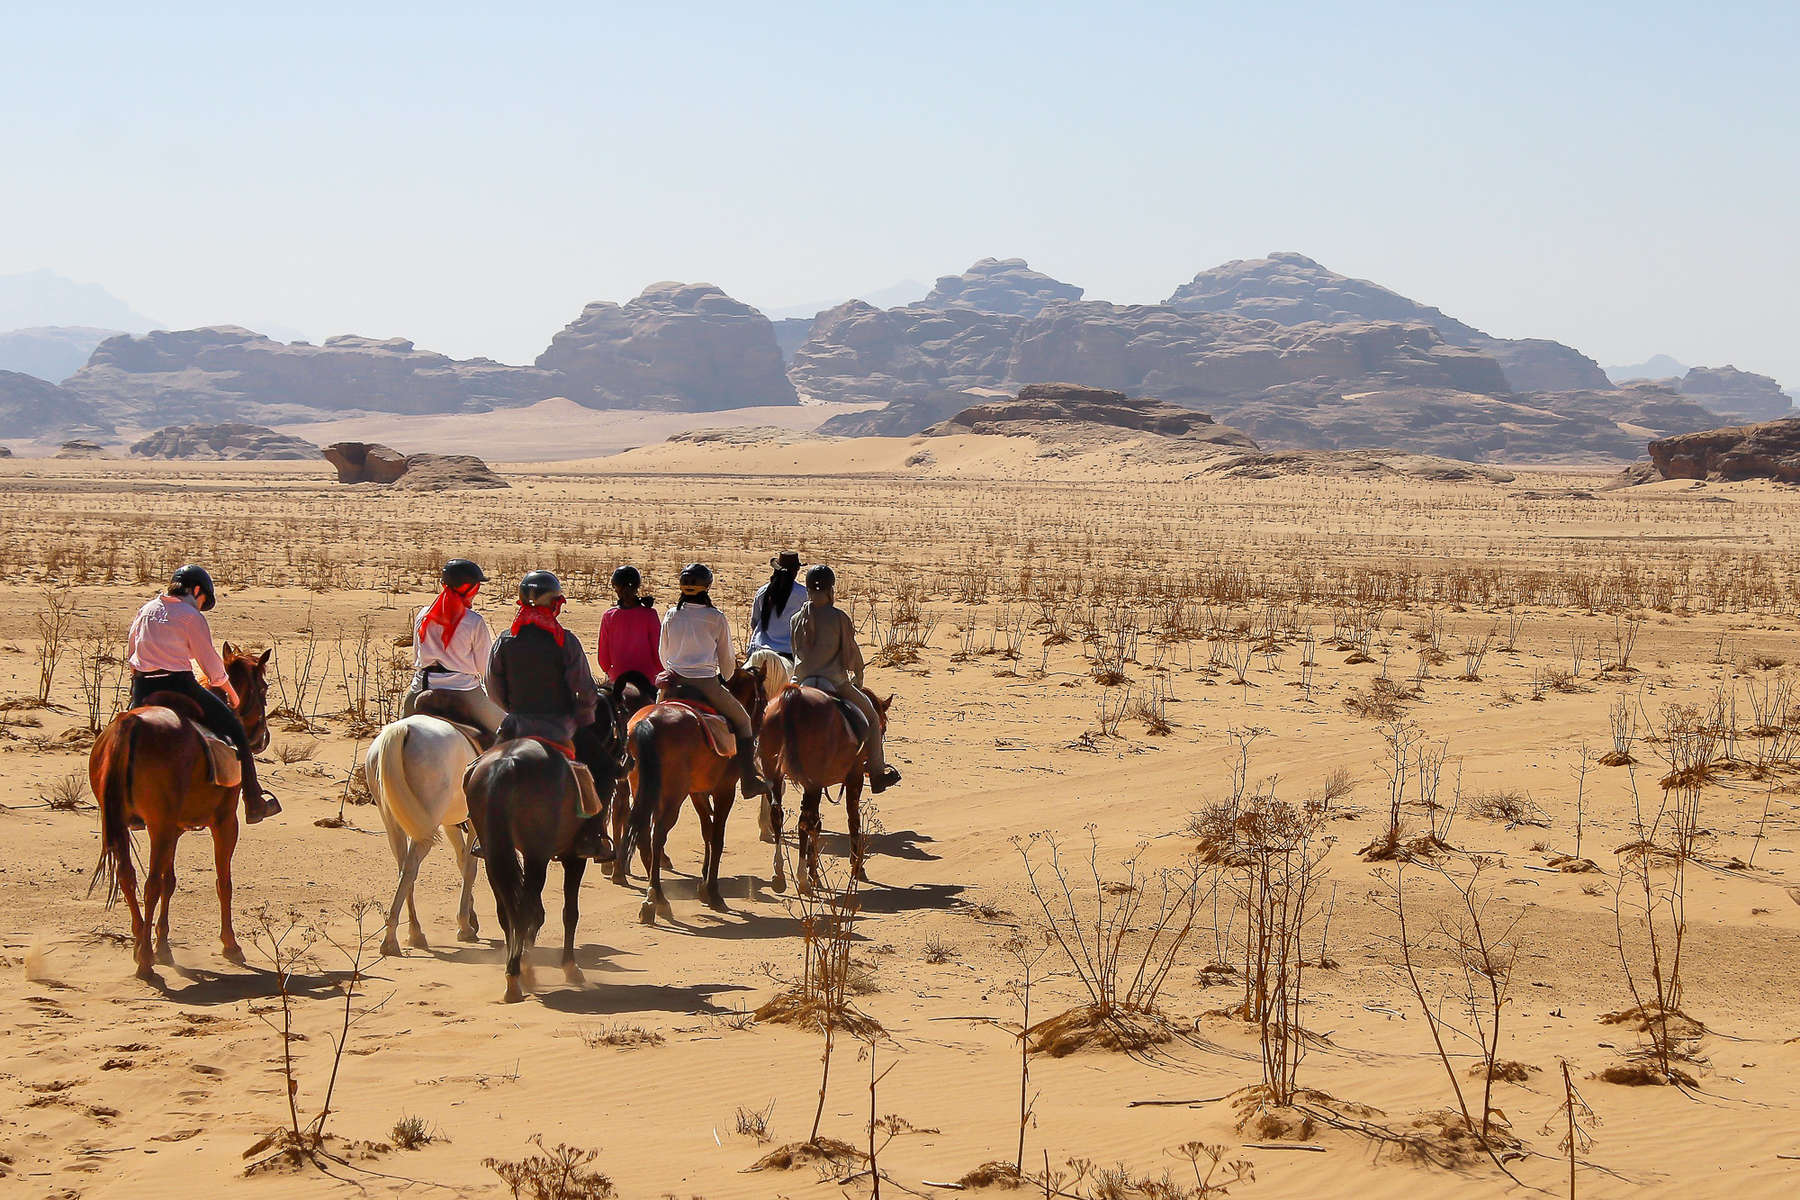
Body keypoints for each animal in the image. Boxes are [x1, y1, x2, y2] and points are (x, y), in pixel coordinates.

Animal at [89, 645, 272, 980]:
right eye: (263, 688)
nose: (262, 738)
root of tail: (130, 726)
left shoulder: (173, 828)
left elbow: (170, 881)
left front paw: (163, 944)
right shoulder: (225, 822)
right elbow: (223, 882)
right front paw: (230, 945)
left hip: (126, 824)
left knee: (128, 877)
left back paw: (141, 944)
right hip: (160, 826)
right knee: (149, 885)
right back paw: (144, 960)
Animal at [365, 715, 482, 957]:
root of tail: (403, 729)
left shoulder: (450, 824)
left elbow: (462, 861)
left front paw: (470, 917)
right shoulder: (473, 822)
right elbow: (469, 868)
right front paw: (465, 925)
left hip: (395, 823)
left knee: (404, 868)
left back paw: (414, 932)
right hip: (424, 827)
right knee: (410, 869)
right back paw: (391, 939)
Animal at [461, 701, 623, 1004]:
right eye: (615, 716)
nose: (624, 760)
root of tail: (505, 764)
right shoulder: (572, 858)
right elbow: (569, 912)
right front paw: (570, 968)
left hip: (494, 852)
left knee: (508, 909)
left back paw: (516, 972)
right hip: (537, 854)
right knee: (525, 908)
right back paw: (519, 974)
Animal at [613, 650, 789, 923]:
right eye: (761, 697)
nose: (763, 724)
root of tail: (648, 723)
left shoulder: (697, 792)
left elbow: (707, 831)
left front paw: (705, 886)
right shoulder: (724, 790)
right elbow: (718, 836)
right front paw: (714, 892)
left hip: (643, 788)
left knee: (643, 832)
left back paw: (651, 894)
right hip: (672, 796)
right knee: (657, 835)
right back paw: (656, 900)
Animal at [757, 683, 892, 896]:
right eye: (883, 727)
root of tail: (793, 698)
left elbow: (817, 824)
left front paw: (814, 872)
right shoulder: (854, 777)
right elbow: (852, 819)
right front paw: (856, 867)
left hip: (774, 772)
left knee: (778, 815)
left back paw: (779, 874)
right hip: (813, 780)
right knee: (804, 822)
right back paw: (802, 880)